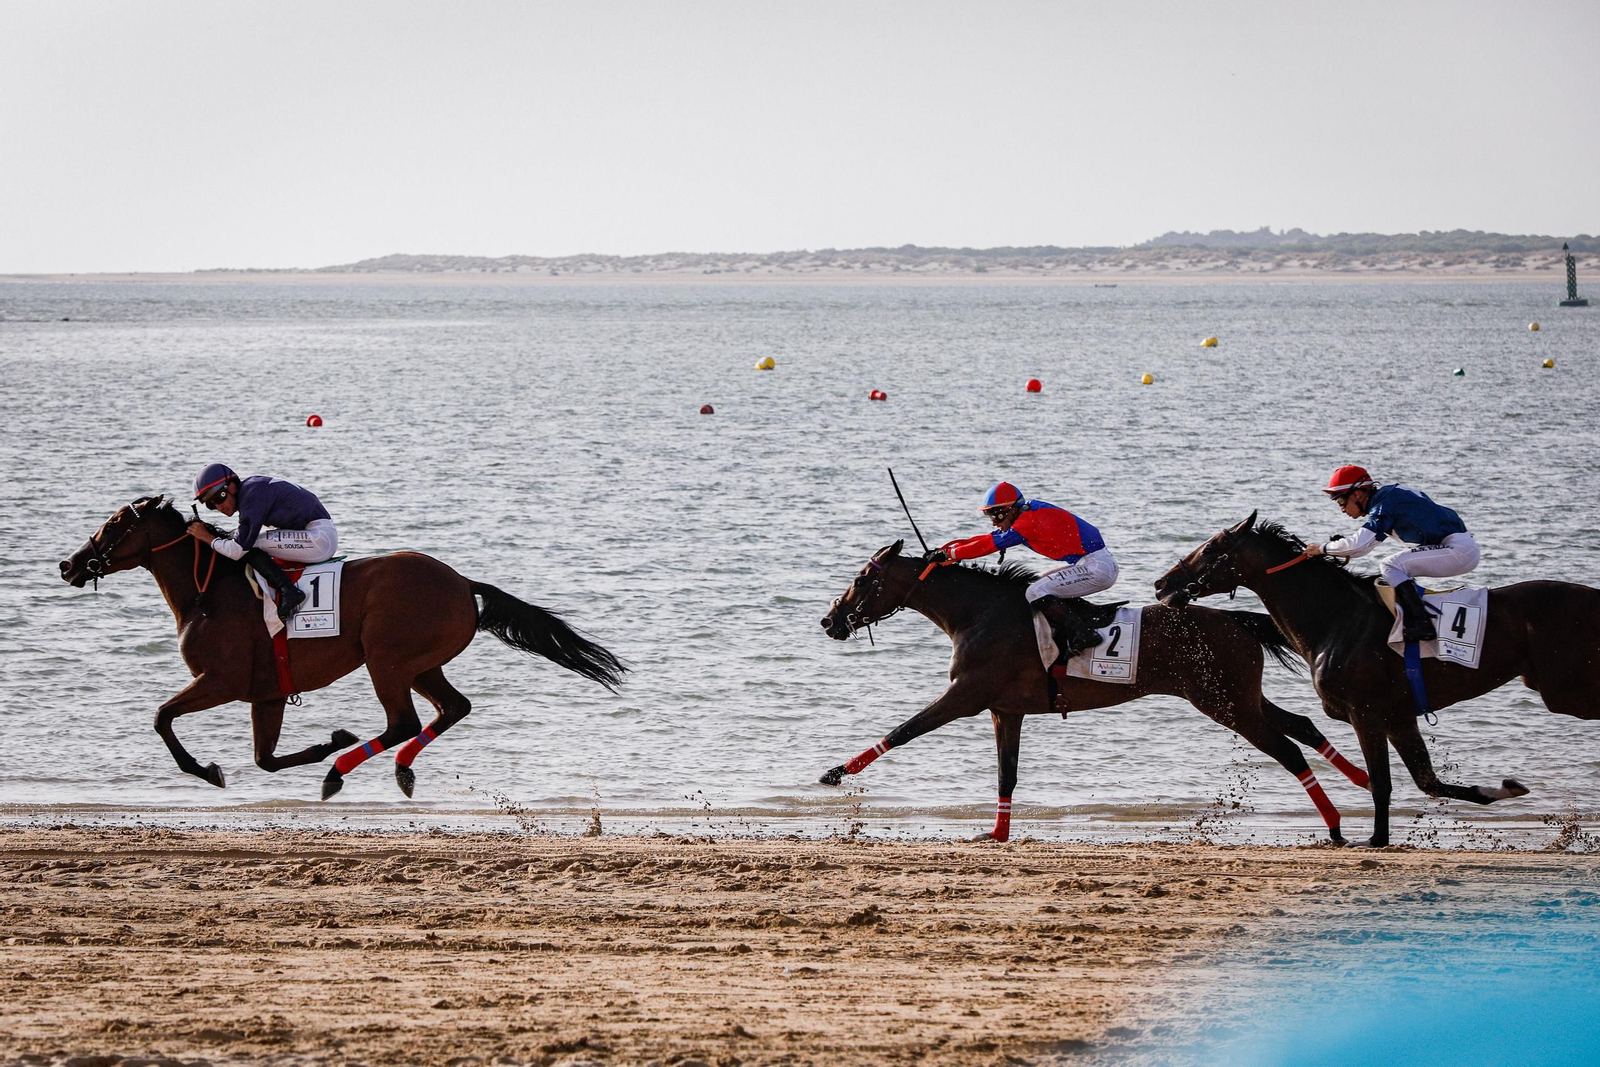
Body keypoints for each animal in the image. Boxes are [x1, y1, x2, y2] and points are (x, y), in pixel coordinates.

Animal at [59, 496, 626, 799]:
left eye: (113, 525)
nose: (69, 564)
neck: (210, 592)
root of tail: (463, 582)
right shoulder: (265, 693)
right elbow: (265, 760)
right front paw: (323, 744)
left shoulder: (221, 681)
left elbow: (162, 718)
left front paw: (208, 770)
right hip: (419, 664)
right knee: (452, 708)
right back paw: (396, 767)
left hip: (385, 658)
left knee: (404, 721)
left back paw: (340, 771)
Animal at [817, 540, 1371, 843]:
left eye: (862, 578)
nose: (830, 620)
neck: (980, 613)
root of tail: (1237, 620)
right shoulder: (1005, 710)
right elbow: (1006, 775)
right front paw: (996, 833)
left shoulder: (965, 697)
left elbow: (905, 729)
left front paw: (838, 772)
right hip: (1239, 698)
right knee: (1301, 725)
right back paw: (1363, 780)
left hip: (1225, 704)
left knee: (1288, 750)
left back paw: (1338, 826)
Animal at [1155, 511, 1600, 846]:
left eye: (1210, 548)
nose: (1162, 584)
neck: (1337, 619)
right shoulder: (1398, 718)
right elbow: (1427, 781)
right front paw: (1502, 788)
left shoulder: (1365, 713)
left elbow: (1383, 783)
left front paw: (1375, 839)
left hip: (1563, 689)